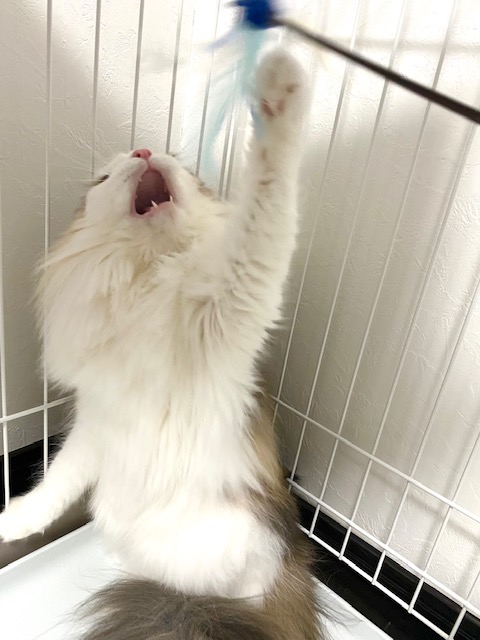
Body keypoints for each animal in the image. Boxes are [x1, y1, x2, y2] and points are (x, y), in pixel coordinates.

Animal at [0, 49, 322, 640]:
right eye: (107, 176)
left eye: (182, 165)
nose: (145, 150)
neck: (149, 277)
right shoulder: (96, 421)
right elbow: (54, 484)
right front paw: (12, 521)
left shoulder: (237, 292)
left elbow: (266, 197)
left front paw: (278, 91)